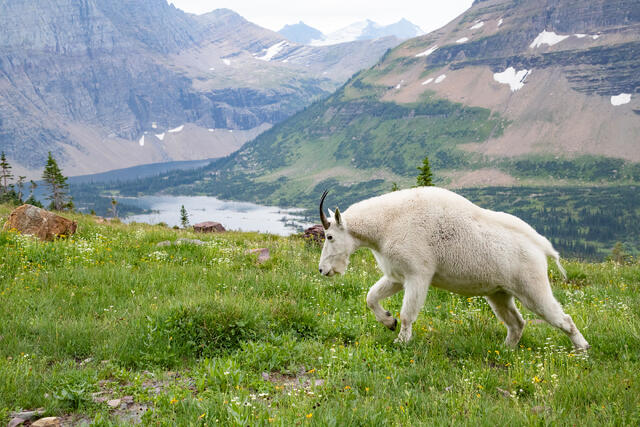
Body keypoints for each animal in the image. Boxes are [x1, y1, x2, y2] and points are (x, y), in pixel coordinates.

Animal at [317, 187, 589, 350]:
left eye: (329, 236)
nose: (323, 270)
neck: (385, 224)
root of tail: (541, 247)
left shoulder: (418, 275)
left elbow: (408, 313)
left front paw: (401, 340)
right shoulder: (396, 276)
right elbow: (370, 297)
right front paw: (388, 321)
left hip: (532, 287)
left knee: (562, 318)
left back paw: (582, 349)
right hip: (499, 293)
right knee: (516, 322)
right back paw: (506, 349)